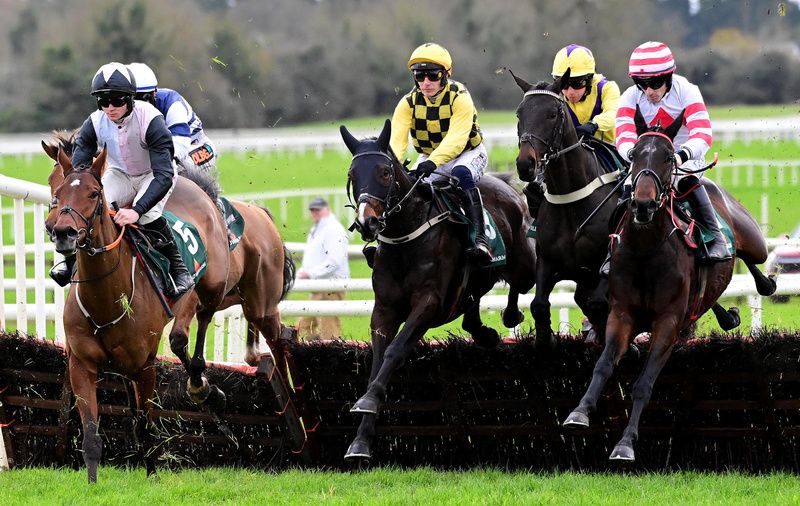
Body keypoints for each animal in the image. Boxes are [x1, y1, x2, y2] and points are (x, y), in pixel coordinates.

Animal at [42, 134, 296, 372]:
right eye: (52, 181)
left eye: (93, 193)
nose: (54, 227)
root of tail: (261, 214)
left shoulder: (191, 291)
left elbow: (178, 337)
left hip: (259, 301)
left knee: (273, 335)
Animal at [48, 147, 231, 482]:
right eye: (59, 192)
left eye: (94, 193)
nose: (62, 232)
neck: (106, 298)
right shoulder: (81, 365)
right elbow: (92, 434)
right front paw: (92, 482)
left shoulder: (145, 366)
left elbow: (146, 424)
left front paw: (152, 473)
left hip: (211, 287)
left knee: (191, 332)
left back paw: (203, 389)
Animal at [340, 119, 536, 462]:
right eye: (353, 175)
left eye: (385, 172)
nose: (368, 222)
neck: (406, 235)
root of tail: (504, 185)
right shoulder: (384, 308)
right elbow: (377, 360)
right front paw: (360, 441)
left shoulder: (429, 303)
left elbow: (394, 350)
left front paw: (368, 400)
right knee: (473, 304)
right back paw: (485, 331)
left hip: (524, 262)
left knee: (524, 282)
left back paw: (511, 314)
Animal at [512, 70, 620, 348]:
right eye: (519, 114)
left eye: (552, 114)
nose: (525, 164)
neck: (572, 199)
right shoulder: (547, 260)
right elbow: (539, 305)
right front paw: (545, 339)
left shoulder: (607, 264)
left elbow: (599, 305)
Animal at [564, 110, 776, 462]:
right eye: (635, 155)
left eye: (666, 157)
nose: (643, 205)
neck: (646, 251)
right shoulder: (621, 314)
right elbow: (603, 365)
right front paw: (579, 412)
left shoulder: (668, 322)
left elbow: (644, 383)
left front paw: (625, 443)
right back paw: (728, 313)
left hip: (753, 239)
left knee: (752, 257)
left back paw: (762, 281)